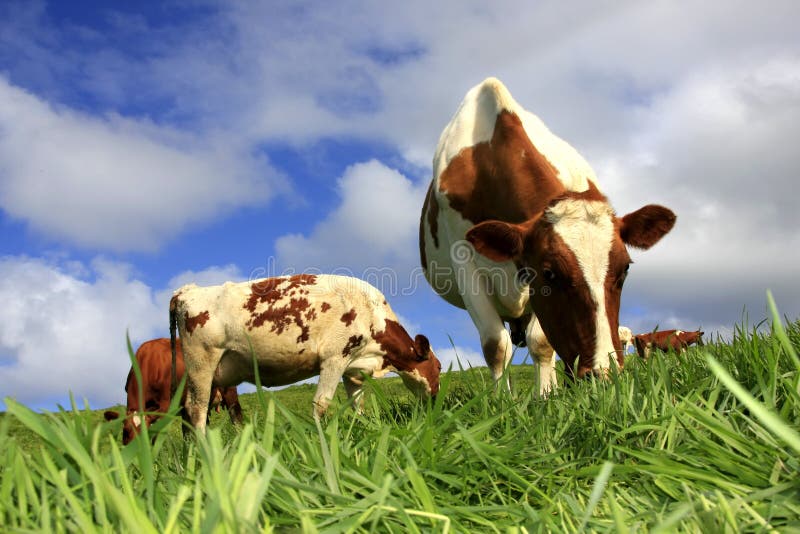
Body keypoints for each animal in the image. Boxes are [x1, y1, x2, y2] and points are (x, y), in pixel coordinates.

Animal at [170, 274, 444, 434]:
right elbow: (321, 404)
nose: (436, 401)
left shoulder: (354, 369)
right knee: (197, 409)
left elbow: (358, 405)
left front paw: (363, 428)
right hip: (201, 363)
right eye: (439, 367)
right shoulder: (335, 357)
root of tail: (187, 291)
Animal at [418, 77, 676, 396]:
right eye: (550, 273)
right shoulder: (464, 258)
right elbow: (495, 345)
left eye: (625, 268)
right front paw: (503, 400)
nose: (604, 376)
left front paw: (546, 396)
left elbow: (541, 343)